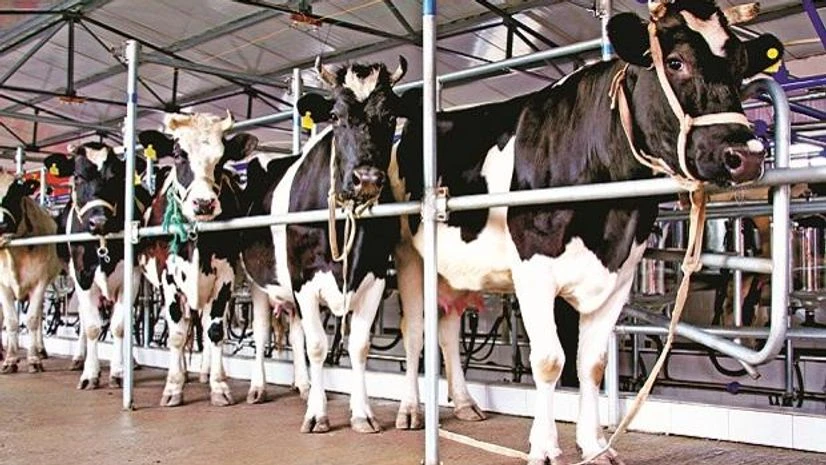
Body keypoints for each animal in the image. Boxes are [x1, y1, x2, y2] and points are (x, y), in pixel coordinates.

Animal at [0, 171, 62, 374]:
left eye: (15, 194)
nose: (1, 224)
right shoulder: (3, 286)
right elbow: (11, 321)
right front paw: (10, 359)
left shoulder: (39, 282)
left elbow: (32, 319)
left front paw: (33, 359)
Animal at [47, 142, 152, 390]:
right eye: (77, 176)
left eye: (116, 177)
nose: (99, 222)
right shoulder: (82, 275)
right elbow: (93, 327)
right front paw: (90, 374)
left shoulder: (131, 276)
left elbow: (120, 326)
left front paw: (118, 372)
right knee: (84, 318)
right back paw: (78, 358)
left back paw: (130, 362)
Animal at [138, 112, 257, 407]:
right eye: (178, 154)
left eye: (222, 159)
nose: (204, 203)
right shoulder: (168, 277)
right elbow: (177, 334)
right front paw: (173, 387)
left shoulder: (224, 277)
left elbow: (214, 331)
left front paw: (219, 387)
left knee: (204, 325)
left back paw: (206, 373)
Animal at [241, 56, 406, 433]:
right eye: (334, 115)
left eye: (390, 116)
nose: (367, 178)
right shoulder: (303, 278)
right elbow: (317, 346)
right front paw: (317, 414)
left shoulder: (375, 277)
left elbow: (358, 347)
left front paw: (362, 413)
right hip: (259, 283)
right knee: (261, 333)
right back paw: (258, 388)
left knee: (295, 332)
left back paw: (303, 385)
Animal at [388, 1, 782, 463]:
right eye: (675, 62)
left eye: (740, 69)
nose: (747, 156)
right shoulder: (534, 270)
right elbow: (549, 361)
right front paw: (544, 446)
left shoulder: (619, 275)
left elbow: (591, 364)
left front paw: (595, 445)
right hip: (409, 255)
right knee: (415, 331)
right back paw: (411, 411)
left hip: (456, 267)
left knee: (448, 327)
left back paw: (466, 403)